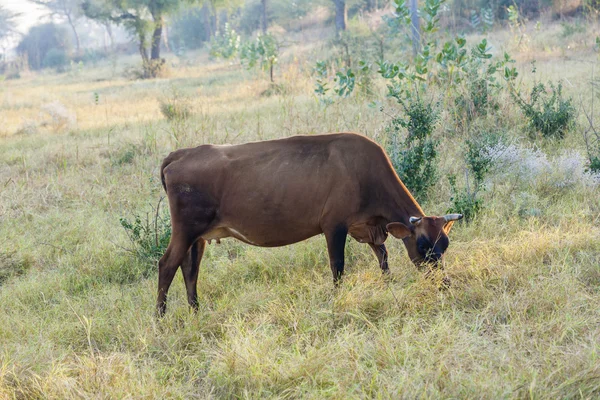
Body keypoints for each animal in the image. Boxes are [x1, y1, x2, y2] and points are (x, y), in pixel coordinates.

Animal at [157, 133, 462, 314]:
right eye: (422, 245)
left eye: (444, 245)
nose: (444, 282)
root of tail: (181, 153)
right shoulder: (334, 225)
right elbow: (338, 266)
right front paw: (337, 299)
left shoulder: (367, 228)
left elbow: (383, 258)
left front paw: (388, 285)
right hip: (185, 229)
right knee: (167, 265)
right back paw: (160, 317)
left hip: (199, 236)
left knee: (190, 269)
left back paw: (195, 311)